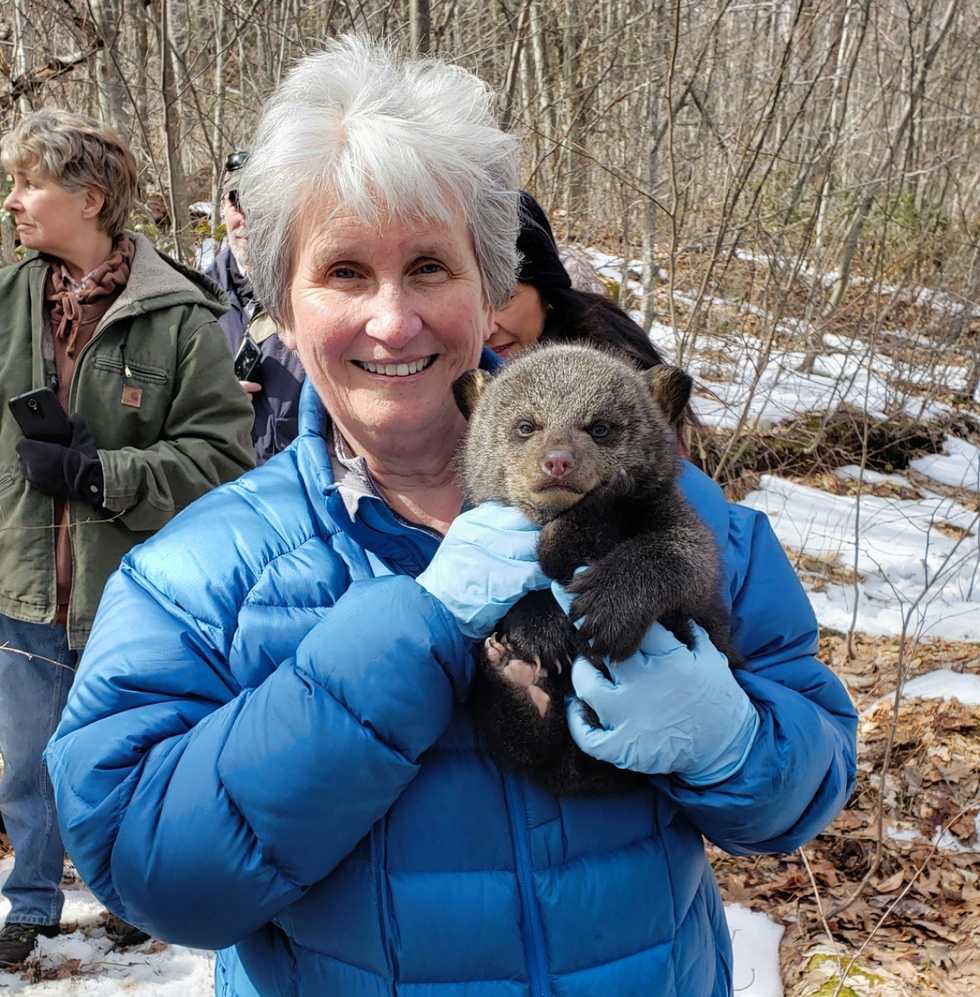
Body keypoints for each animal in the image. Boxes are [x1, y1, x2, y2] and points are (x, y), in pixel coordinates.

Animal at [453, 343, 736, 796]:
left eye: (600, 427)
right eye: (525, 425)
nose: (557, 462)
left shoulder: (667, 511)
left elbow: (689, 556)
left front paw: (609, 606)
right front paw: (539, 627)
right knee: (528, 744)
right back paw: (517, 680)